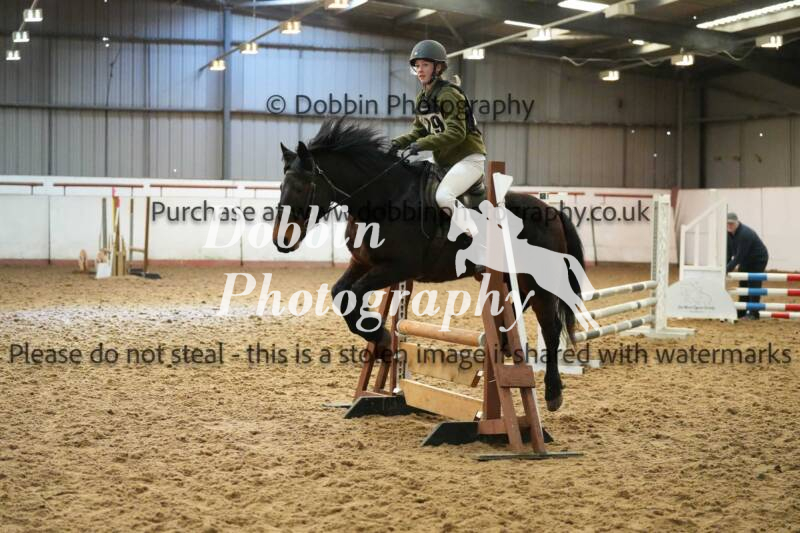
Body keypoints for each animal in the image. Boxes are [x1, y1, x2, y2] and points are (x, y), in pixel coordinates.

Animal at [273, 118, 587, 411]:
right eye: (281, 186)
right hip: (513, 279)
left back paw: (553, 393)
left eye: (301, 187)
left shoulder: (398, 268)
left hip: (541, 282)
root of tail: (552, 211)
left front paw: (382, 338)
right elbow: (342, 294)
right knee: (517, 308)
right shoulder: (362, 262)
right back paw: (508, 346)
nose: (281, 240)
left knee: (550, 328)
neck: (384, 197)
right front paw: (384, 346)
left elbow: (357, 294)